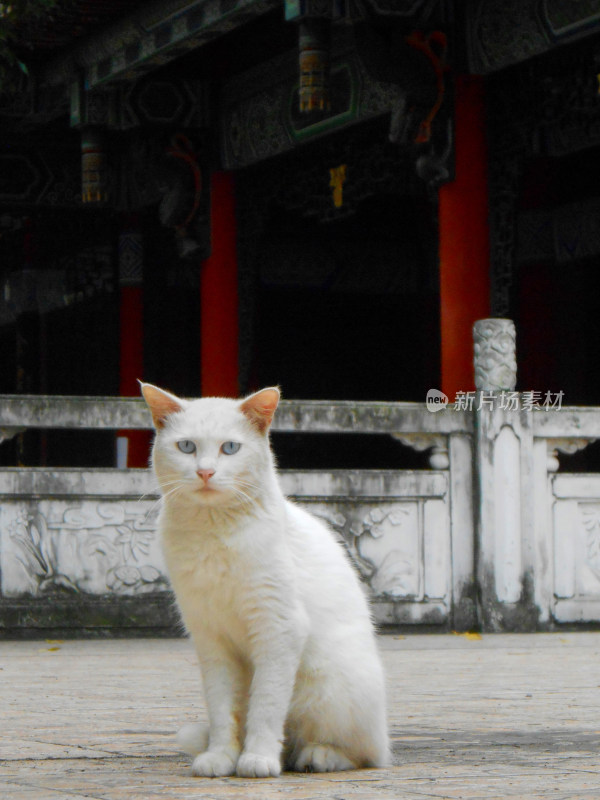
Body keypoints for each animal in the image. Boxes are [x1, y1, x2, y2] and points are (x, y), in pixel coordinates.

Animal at [141, 384, 390, 780]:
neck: (212, 533)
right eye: (187, 447)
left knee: (363, 753)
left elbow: (266, 706)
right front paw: (221, 757)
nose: (205, 472)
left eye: (230, 448)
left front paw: (257, 758)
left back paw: (317, 757)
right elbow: (222, 710)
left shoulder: (278, 628)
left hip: (332, 687)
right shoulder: (211, 641)